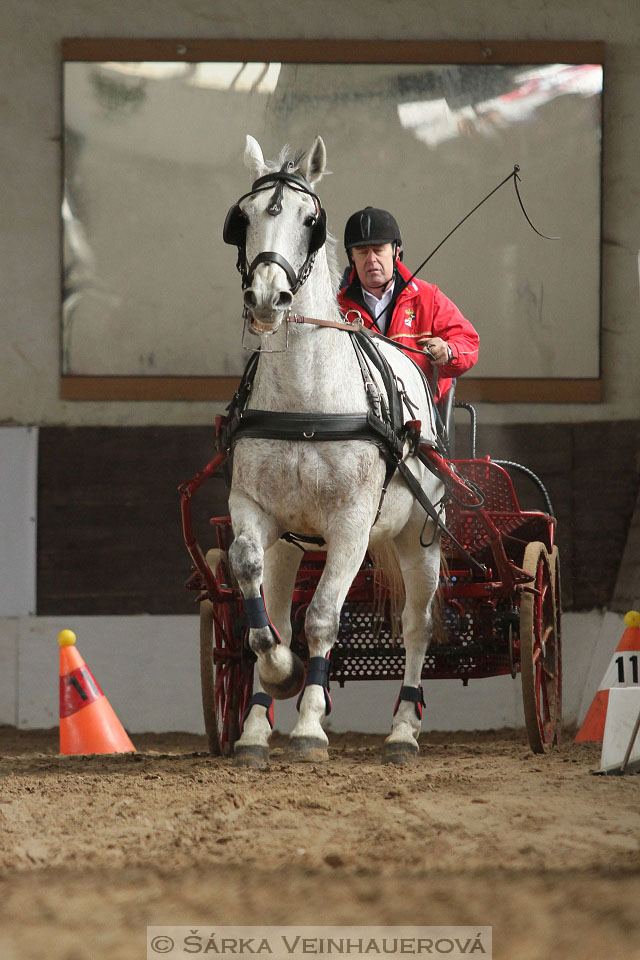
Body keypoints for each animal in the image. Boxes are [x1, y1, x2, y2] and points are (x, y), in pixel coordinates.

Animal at [226, 135, 444, 768]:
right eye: (243, 217)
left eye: (310, 219)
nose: (267, 298)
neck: (307, 399)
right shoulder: (255, 510)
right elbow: (255, 599)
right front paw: (280, 674)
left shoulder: (350, 523)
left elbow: (323, 617)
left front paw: (309, 729)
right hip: (293, 546)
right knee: (274, 606)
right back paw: (255, 728)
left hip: (418, 536)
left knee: (417, 626)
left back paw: (402, 732)